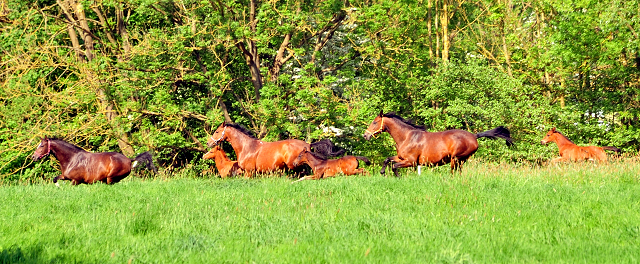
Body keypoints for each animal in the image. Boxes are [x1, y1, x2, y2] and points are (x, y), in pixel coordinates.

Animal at [205, 122, 344, 177]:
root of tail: (308, 144)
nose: (208, 142)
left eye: (217, 131)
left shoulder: (249, 172)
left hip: (294, 165)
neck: (247, 147)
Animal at [362, 111, 512, 175]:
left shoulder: (411, 162)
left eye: (375, 122)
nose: (365, 135)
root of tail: (474, 136)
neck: (407, 137)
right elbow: (388, 159)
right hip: (460, 160)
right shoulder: (401, 157)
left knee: (453, 172)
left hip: (455, 159)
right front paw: (382, 172)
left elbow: (394, 166)